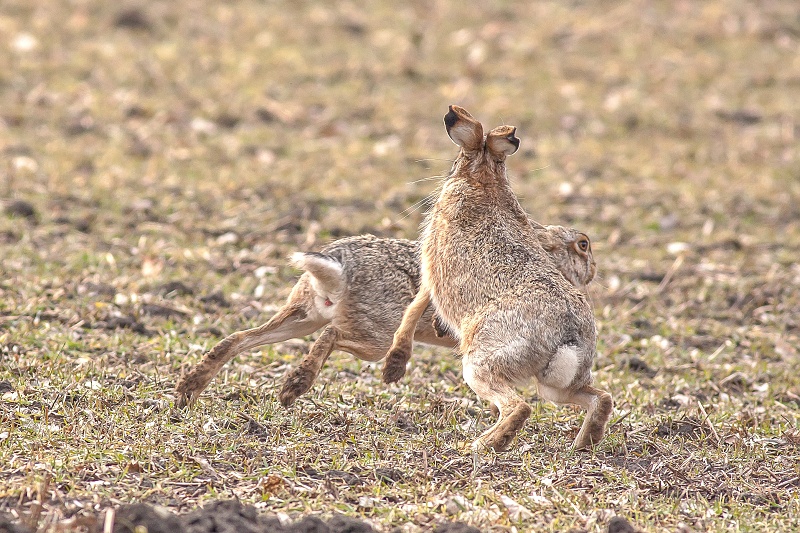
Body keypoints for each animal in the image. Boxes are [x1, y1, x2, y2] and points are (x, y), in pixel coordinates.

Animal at [175, 225, 596, 409]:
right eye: (582, 245)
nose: (592, 271)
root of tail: (339, 267)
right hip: (375, 335)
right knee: (330, 338)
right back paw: (295, 386)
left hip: (303, 313)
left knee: (239, 339)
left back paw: (190, 387)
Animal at [384, 105, 613, 451]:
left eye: (452, 166)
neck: (484, 178)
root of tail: (566, 335)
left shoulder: (431, 266)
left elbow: (414, 308)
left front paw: (393, 366)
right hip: (557, 385)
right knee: (600, 398)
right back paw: (582, 444)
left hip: (480, 364)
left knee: (519, 406)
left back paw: (481, 445)